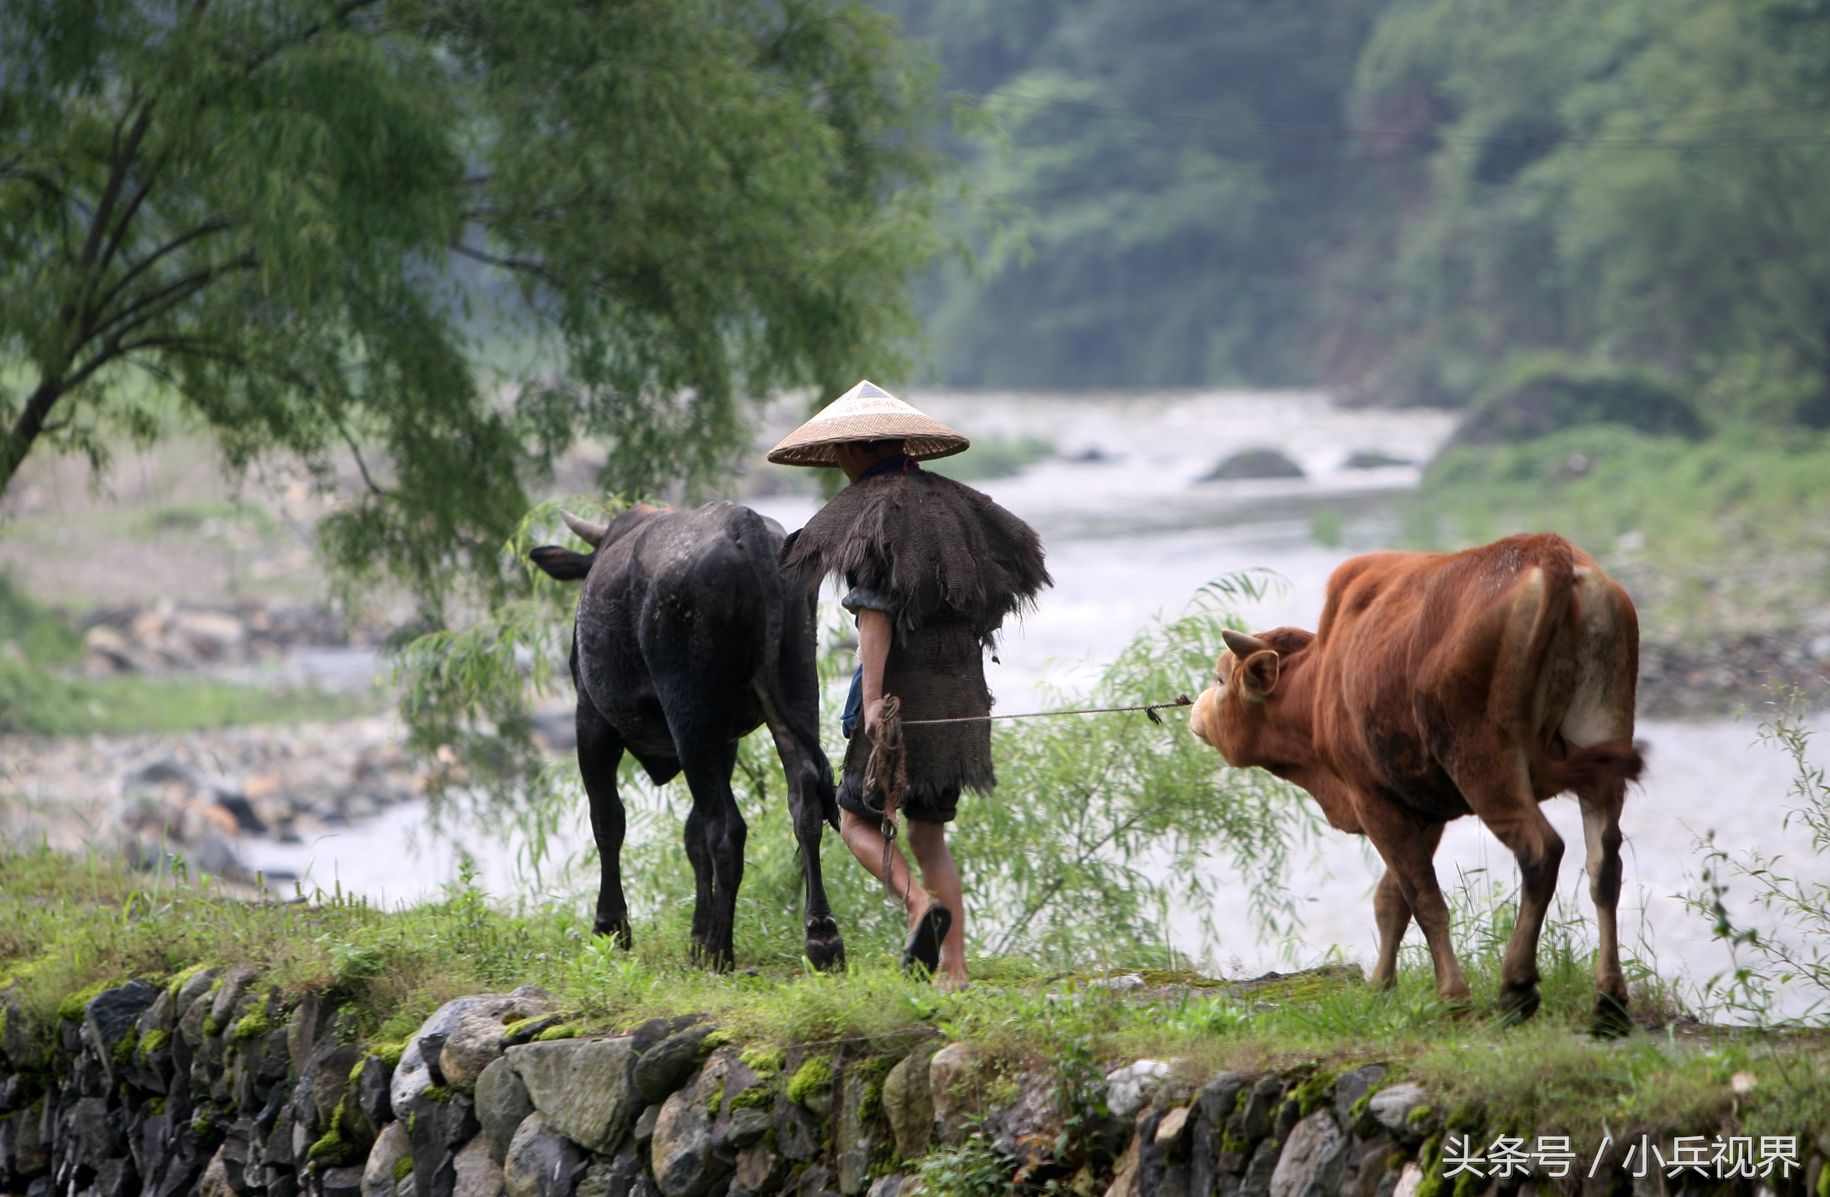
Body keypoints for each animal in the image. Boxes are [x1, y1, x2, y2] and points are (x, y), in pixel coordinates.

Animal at [530, 501, 841, 973]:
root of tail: (740, 520)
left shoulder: (591, 718)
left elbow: (607, 820)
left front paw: (610, 927)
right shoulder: (726, 742)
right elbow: (692, 836)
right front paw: (694, 934)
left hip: (690, 713)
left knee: (726, 827)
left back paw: (719, 949)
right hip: (794, 687)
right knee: (803, 802)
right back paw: (821, 937)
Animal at [1185, 530, 1647, 1039]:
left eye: (1219, 678)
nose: (1194, 708)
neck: (1323, 678)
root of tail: (1546, 549)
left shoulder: (1373, 798)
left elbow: (1423, 898)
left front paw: (1453, 999)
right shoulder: (1423, 808)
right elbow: (1392, 900)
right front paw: (1381, 987)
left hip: (1485, 763)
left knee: (1541, 850)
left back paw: (1516, 988)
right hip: (1602, 740)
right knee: (1604, 866)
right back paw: (1608, 1003)